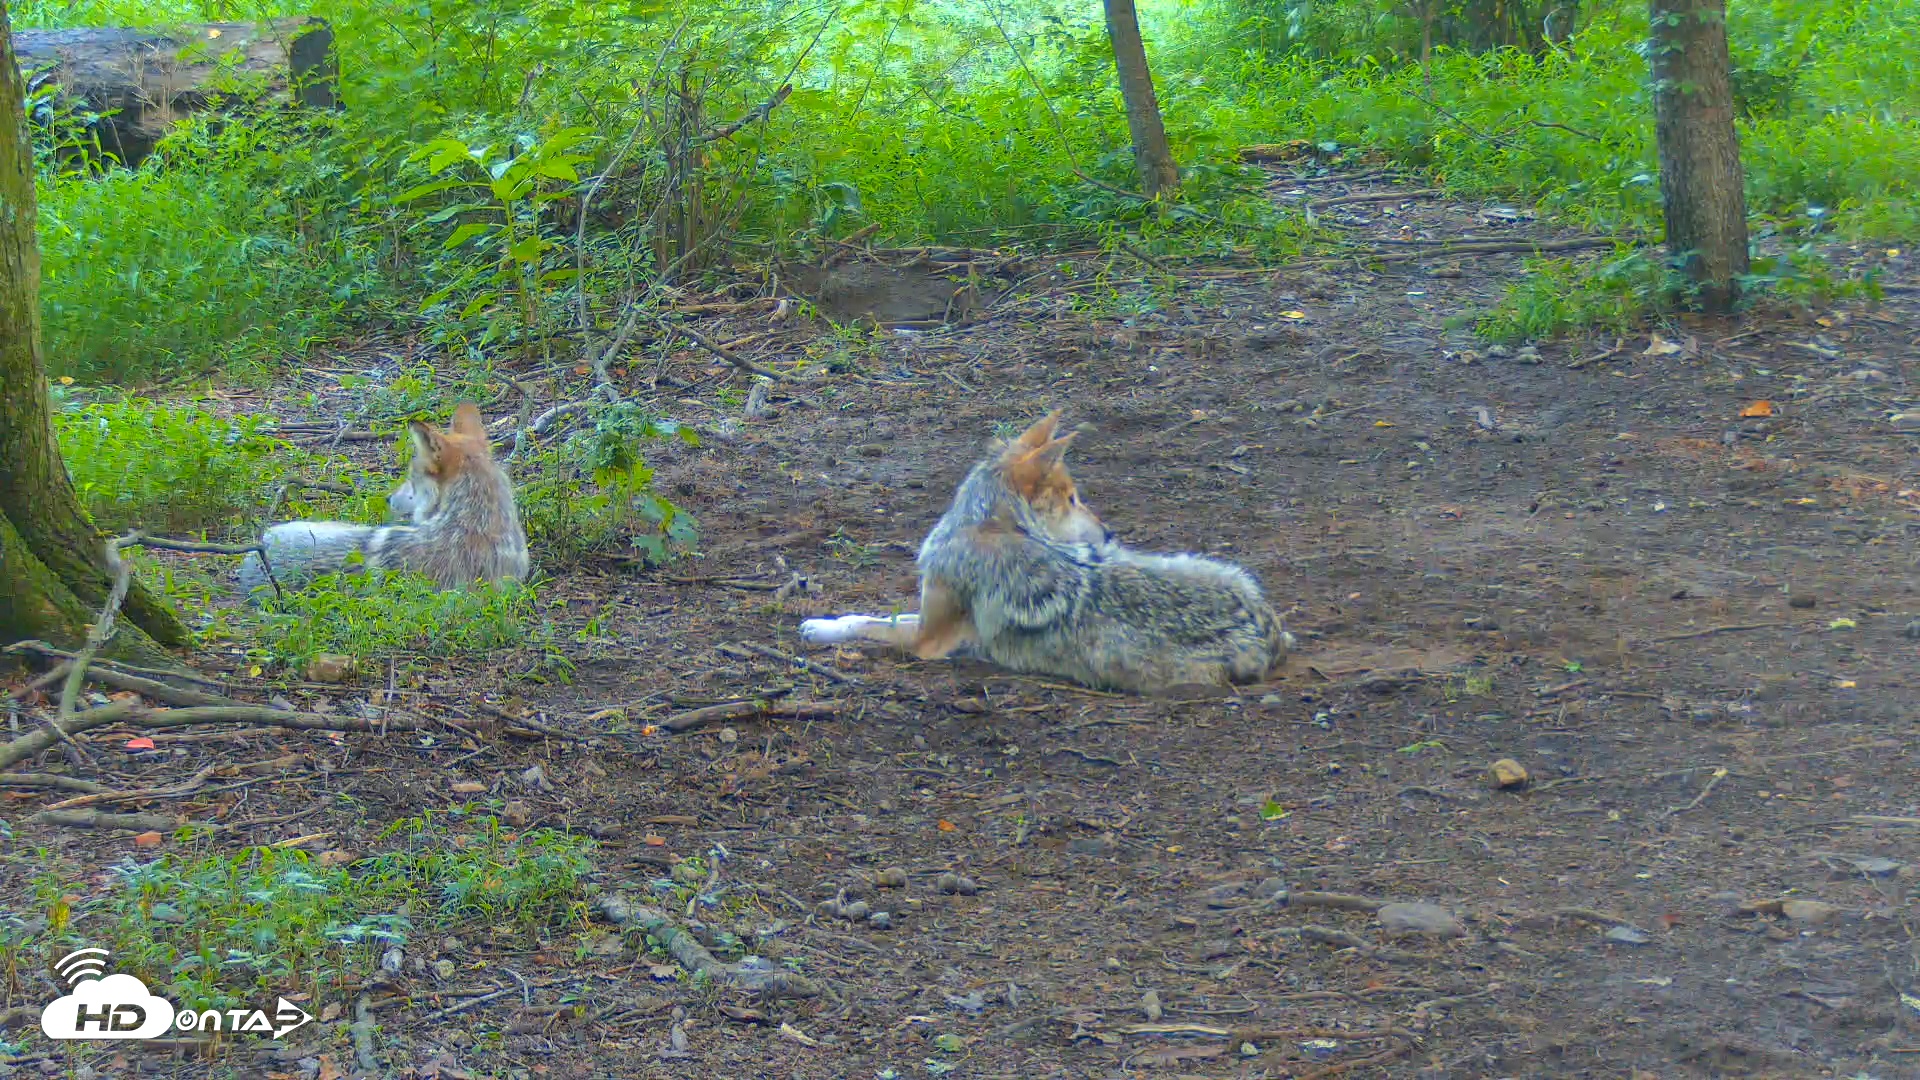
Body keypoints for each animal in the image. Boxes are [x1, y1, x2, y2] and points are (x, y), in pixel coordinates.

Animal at [798, 412, 1293, 694]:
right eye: (1072, 498)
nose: (1109, 533)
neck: (990, 524)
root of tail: (1270, 631)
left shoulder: (926, 640)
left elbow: (868, 622)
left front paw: (821, 627)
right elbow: (877, 613)